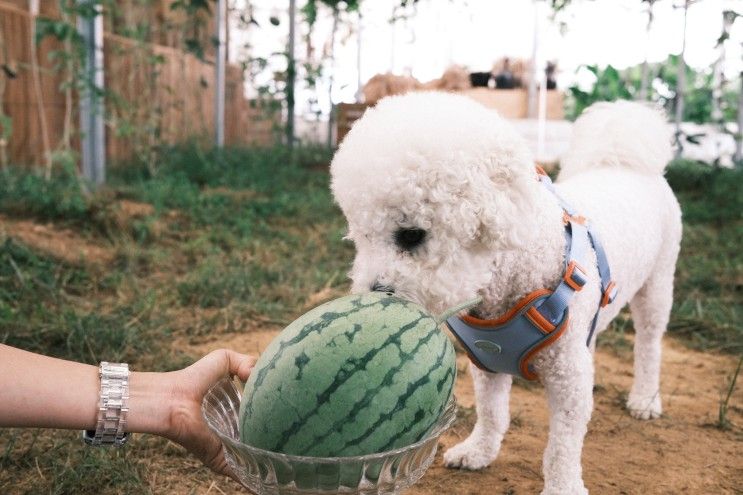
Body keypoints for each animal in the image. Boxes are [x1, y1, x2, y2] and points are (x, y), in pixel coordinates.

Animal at [330, 92, 680, 492]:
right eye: (360, 237)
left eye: (411, 235)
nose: (376, 292)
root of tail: (627, 163)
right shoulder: (487, 362)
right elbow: (491, 412)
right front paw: (479, 452)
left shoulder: (568, 379)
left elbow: (562, 446)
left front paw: (562, 486)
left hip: (658, 283)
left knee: (650, 343)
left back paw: (645, 399)